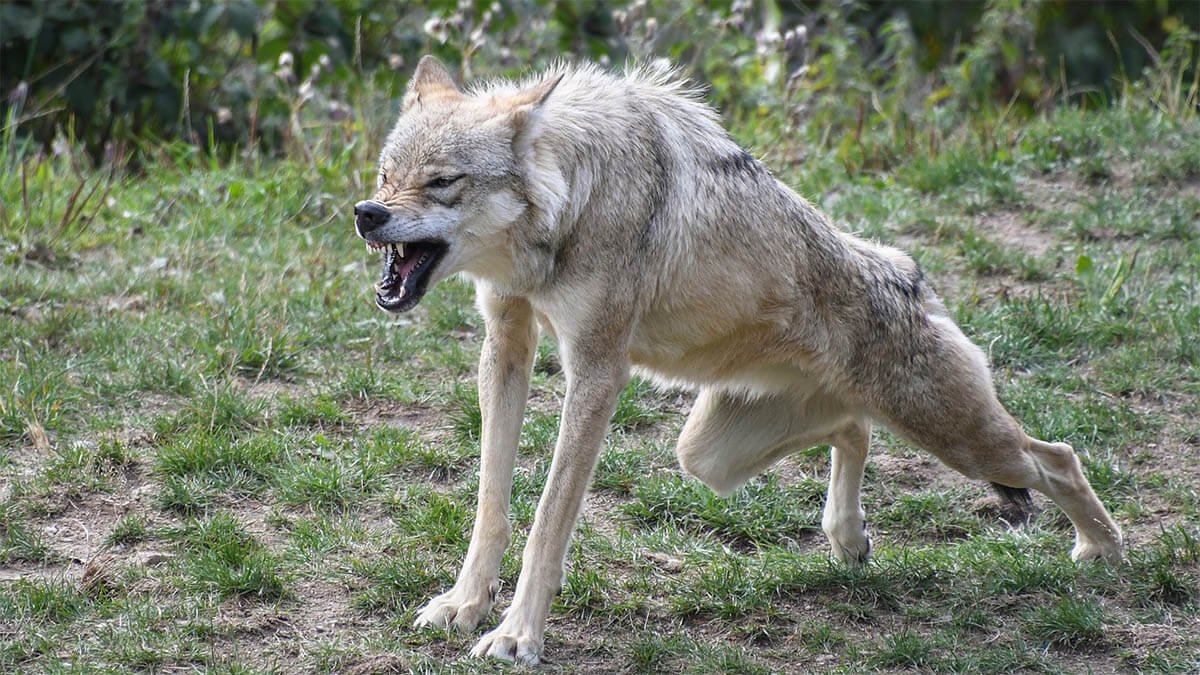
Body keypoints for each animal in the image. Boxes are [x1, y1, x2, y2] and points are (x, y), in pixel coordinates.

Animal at [352, 55, 1123, 664]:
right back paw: (849, 538)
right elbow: (492, 500)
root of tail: (910, 273)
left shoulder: (597, 370)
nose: (366, 213)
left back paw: (1104, 553)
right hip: (709, 455)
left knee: (1057, 456)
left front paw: (517, 636)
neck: (572, 199)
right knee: (854, 428)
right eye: (387, 175)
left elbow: (547, 519)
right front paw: (464, 604)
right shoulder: (506, 343)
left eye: (442, 182)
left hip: (960, 439)